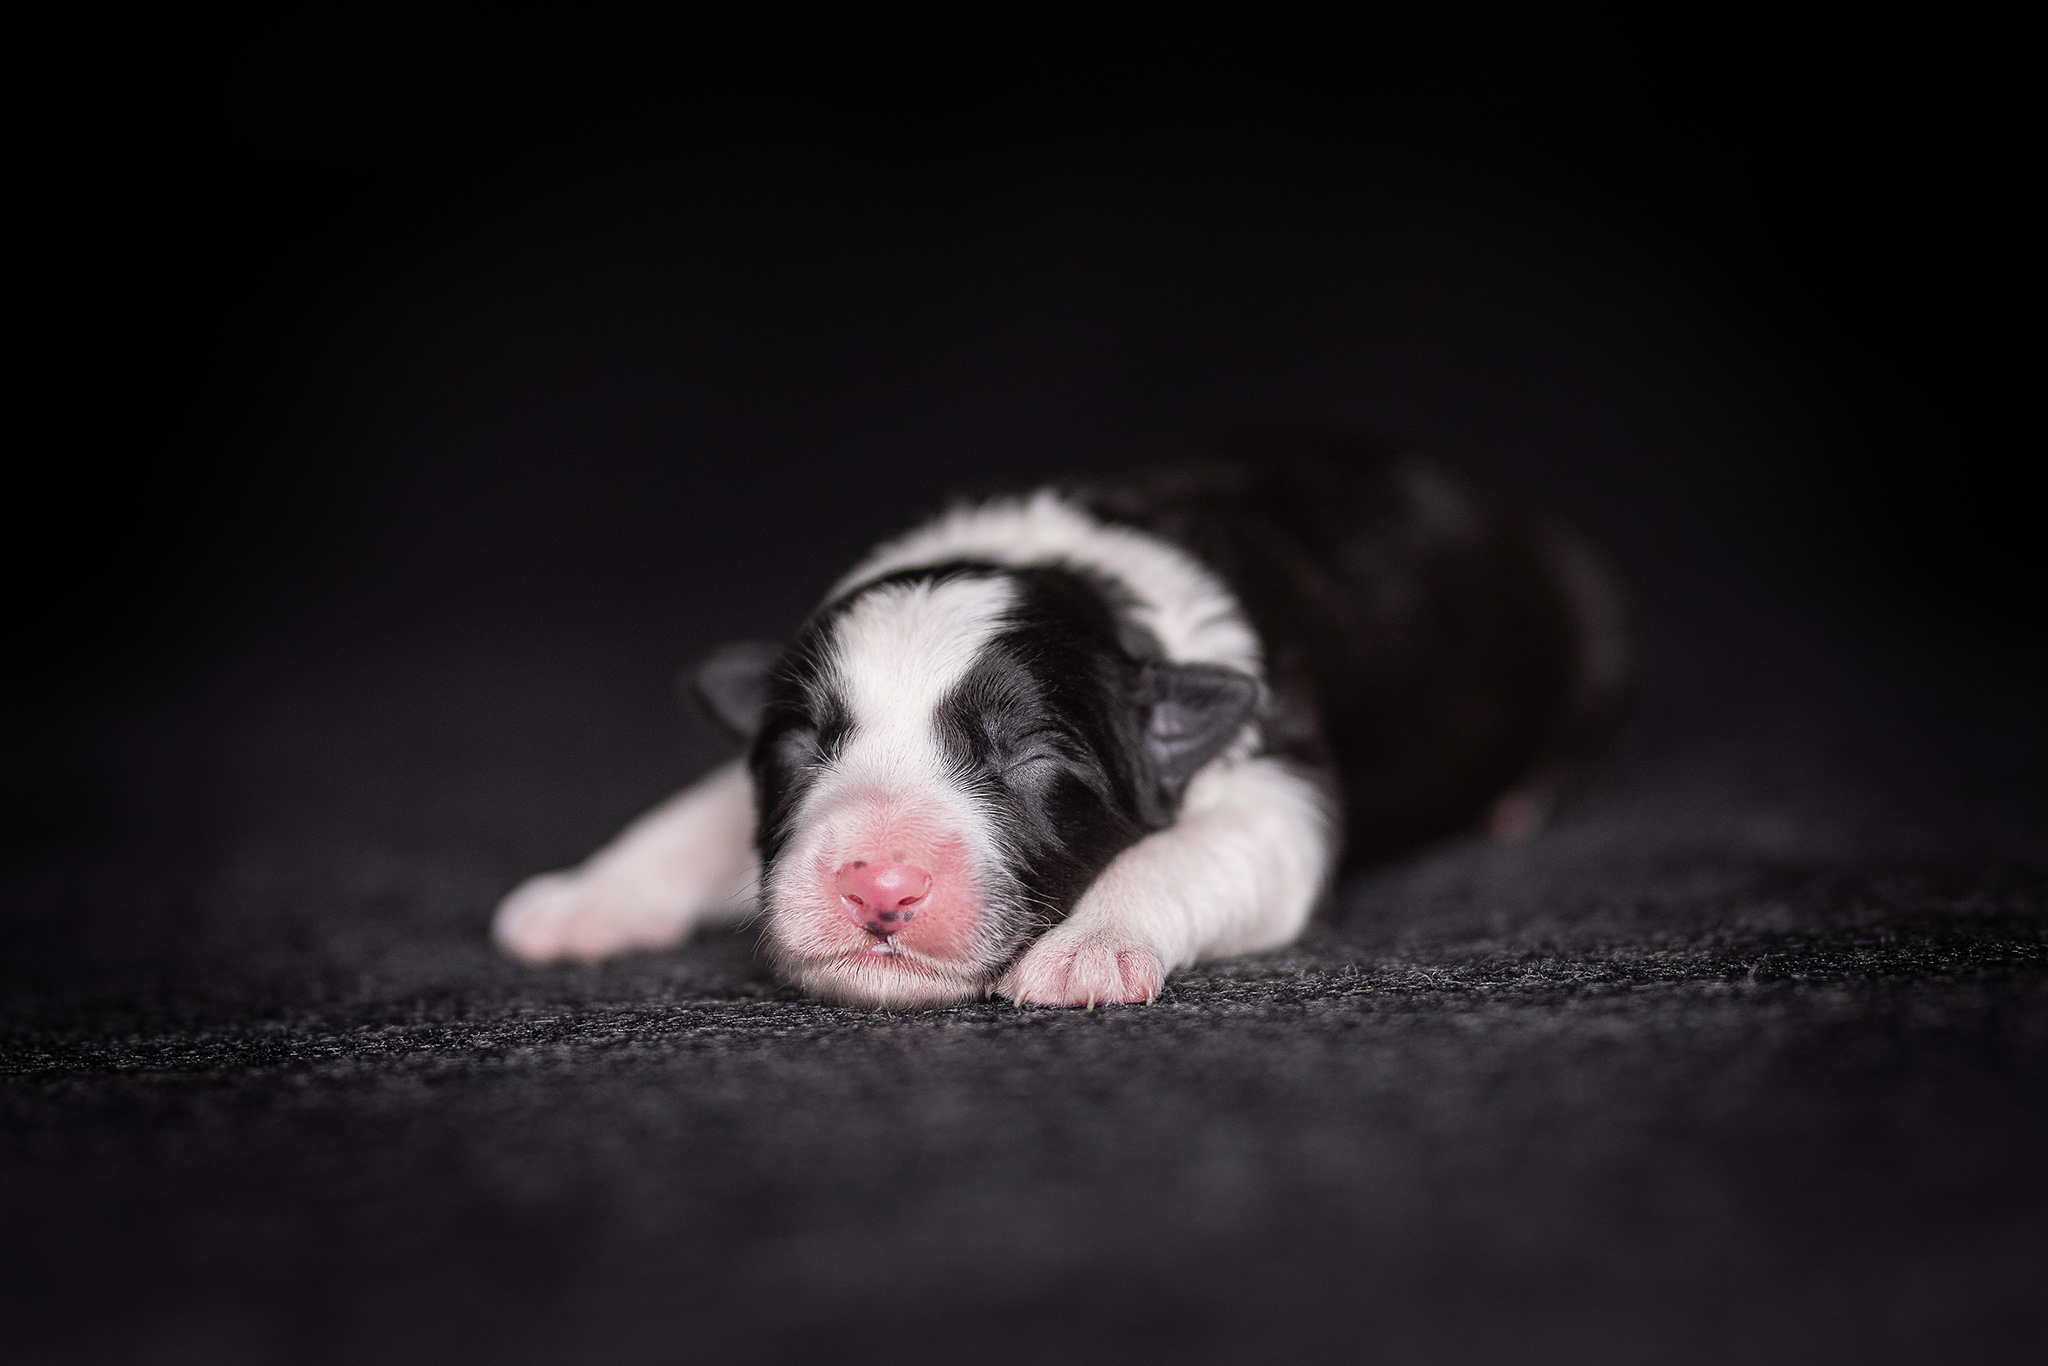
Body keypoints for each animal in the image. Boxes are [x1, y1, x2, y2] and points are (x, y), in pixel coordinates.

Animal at [487, 432, 1622, 1011]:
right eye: (800, 748)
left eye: (1031, 756)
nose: (878, 886)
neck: (1077, 572)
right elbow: (695, 813)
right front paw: (588, 897)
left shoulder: (1276, 783)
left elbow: (1192, 851)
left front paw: (1090, 947)